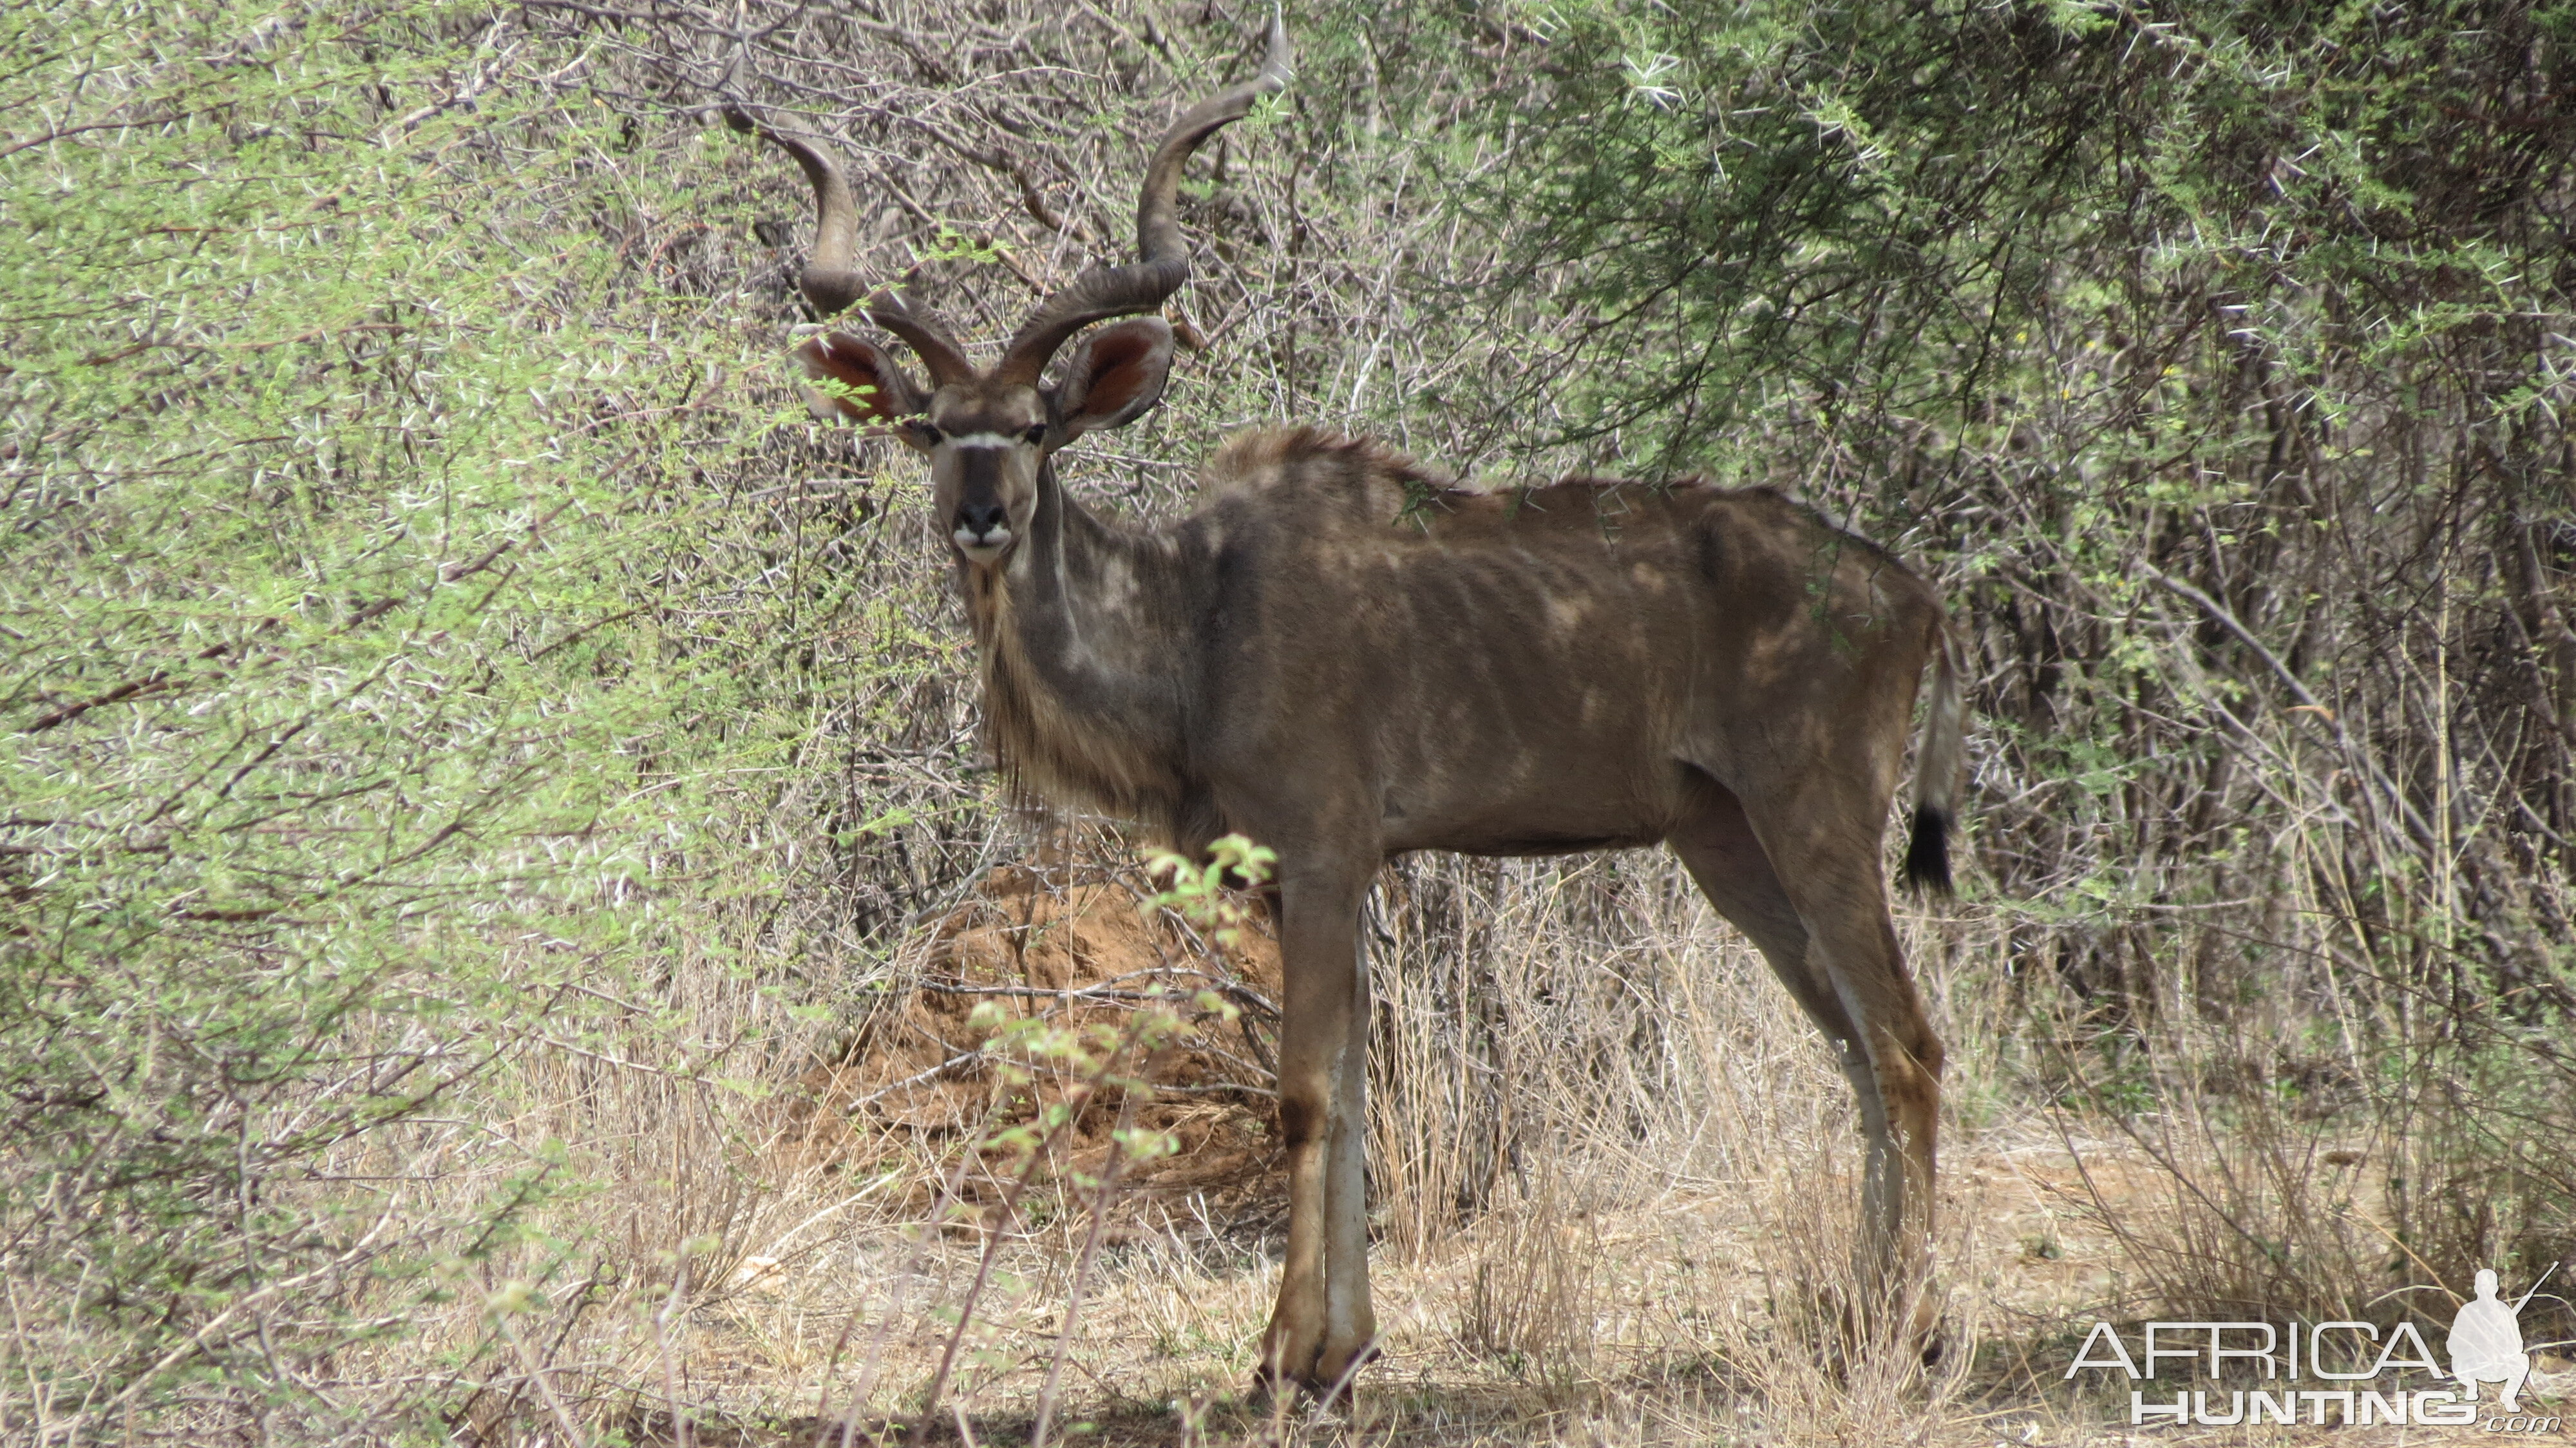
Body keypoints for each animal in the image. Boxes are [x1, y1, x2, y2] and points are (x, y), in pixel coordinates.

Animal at [737, 23, 1958, 1391]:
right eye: (936, 428)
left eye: (1039, 427)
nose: (983, 515)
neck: (1199, 616)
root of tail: (1910, 592)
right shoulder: (1299, 874)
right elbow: (1357, 1084)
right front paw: (1344, 1345)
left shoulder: (1324, 855)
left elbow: (1307, 1092)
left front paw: (1289, 1356)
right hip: (1724, 841)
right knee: (1855, 1046)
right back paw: (1862, 1311)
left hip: (1815, 820)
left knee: (1905, 1043)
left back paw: (1901, 1329)